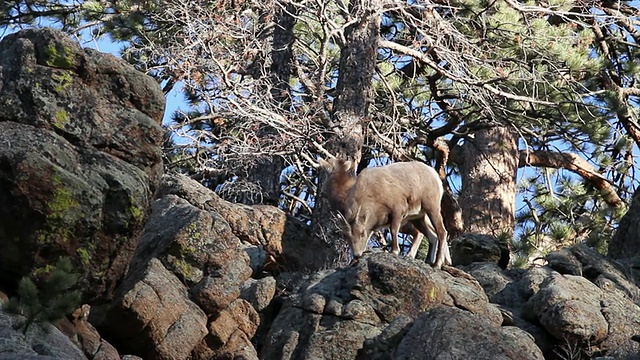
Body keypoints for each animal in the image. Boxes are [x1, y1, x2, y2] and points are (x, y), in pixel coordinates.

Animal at [318, 158, 450, 268]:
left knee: (441, 232)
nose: (356, 255)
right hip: (418, 217)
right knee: (431, 236)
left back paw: (436, 264)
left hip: (431, 208)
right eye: (347, 236)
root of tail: (434, 175)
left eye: (361, 233)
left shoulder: (397, 210)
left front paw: (394, 251)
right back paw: (427, 261)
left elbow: (393, 229)